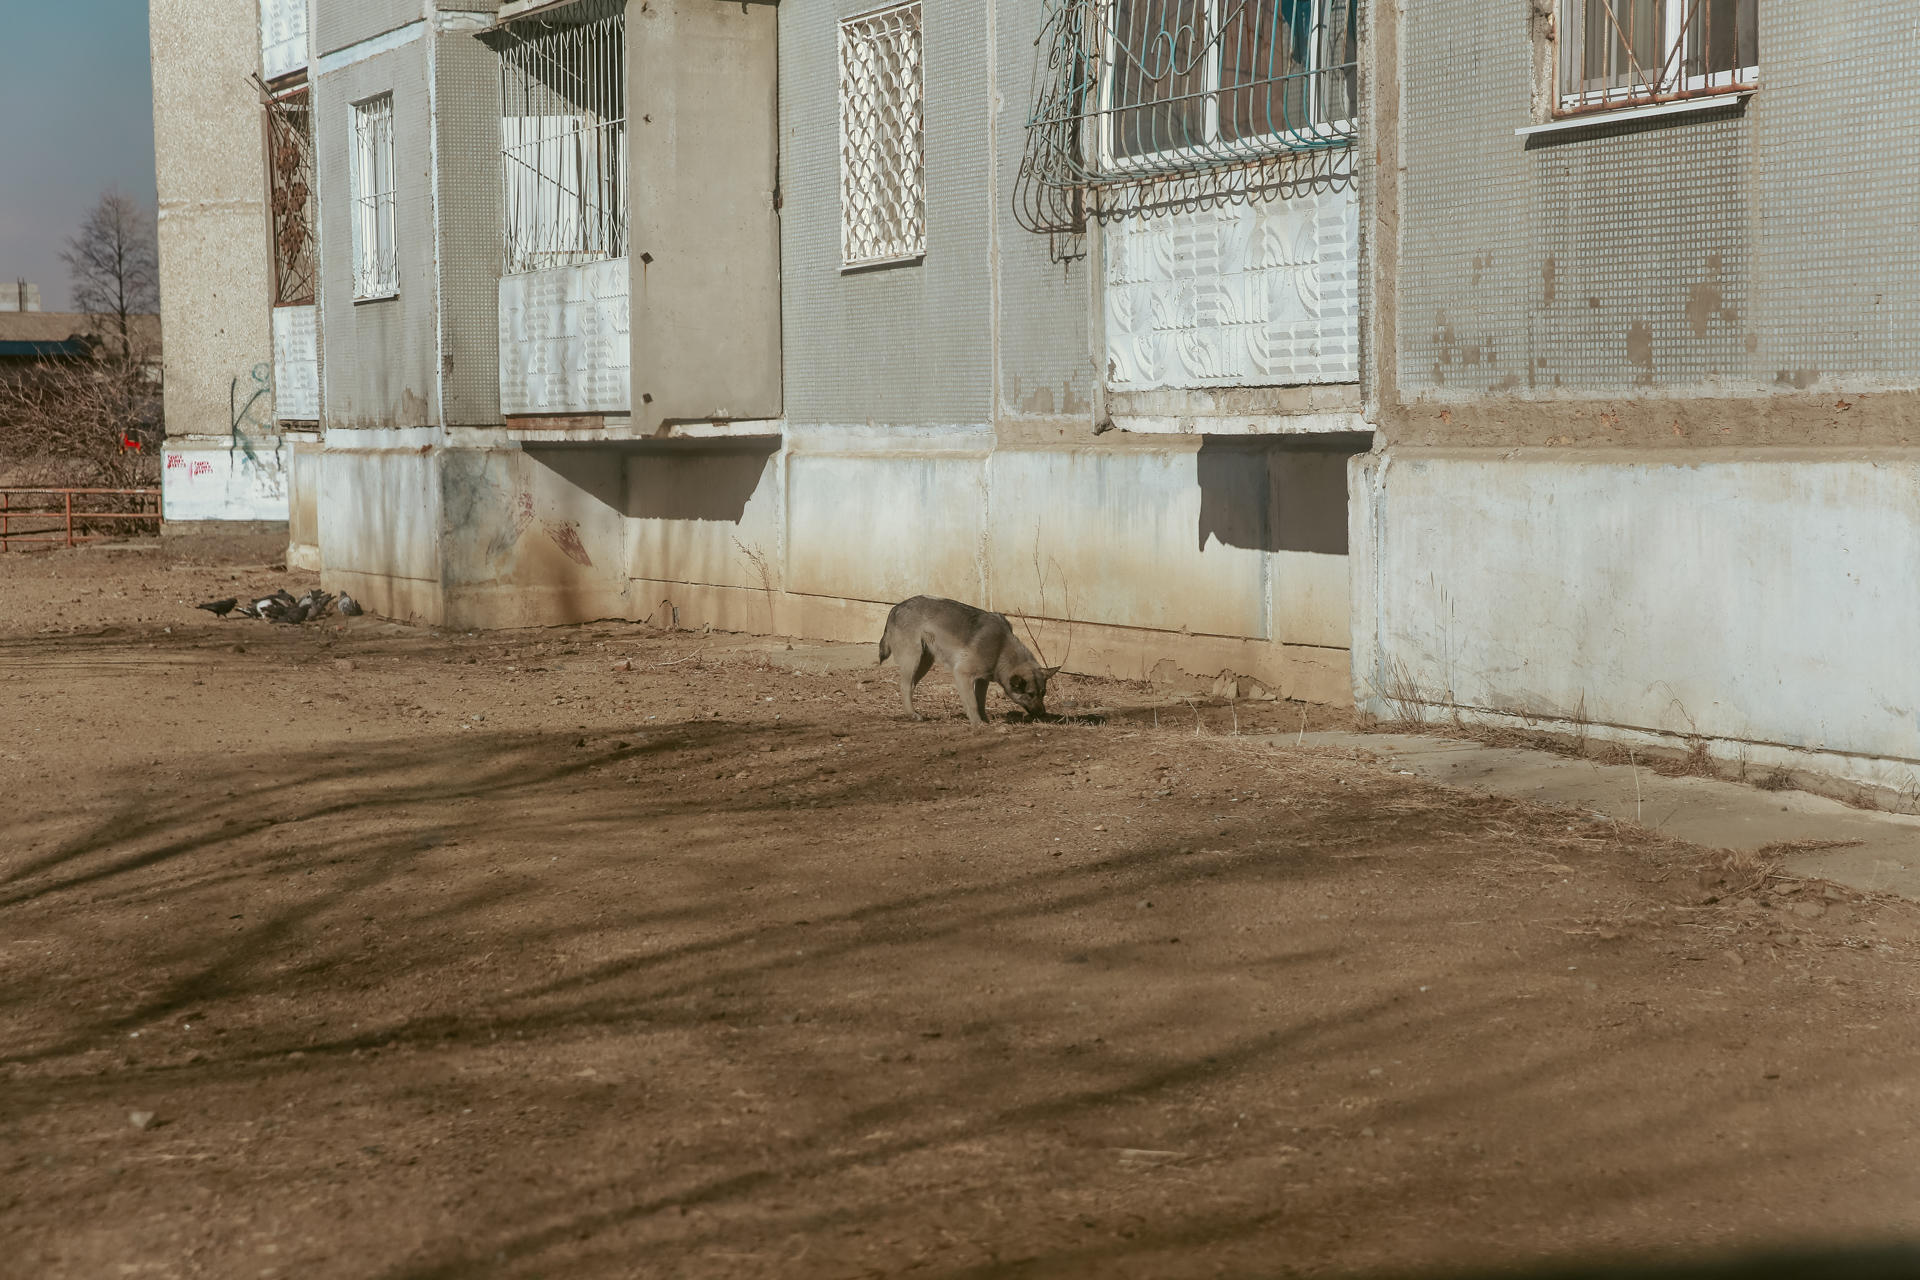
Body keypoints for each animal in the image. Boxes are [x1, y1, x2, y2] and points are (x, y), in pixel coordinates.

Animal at [879, 598, 1059, 725]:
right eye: (1030, 694)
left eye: (1043, 693)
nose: (1043, 713)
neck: (1001, 648)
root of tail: (895, 608)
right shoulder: (962, 675)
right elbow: (972, 703)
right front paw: (977, 724)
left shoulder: (982, 680)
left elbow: (980, 702)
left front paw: (985, 721)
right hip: (913, 659)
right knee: (904, 686)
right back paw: (912, 714)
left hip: (924, 662)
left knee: (911, 686)